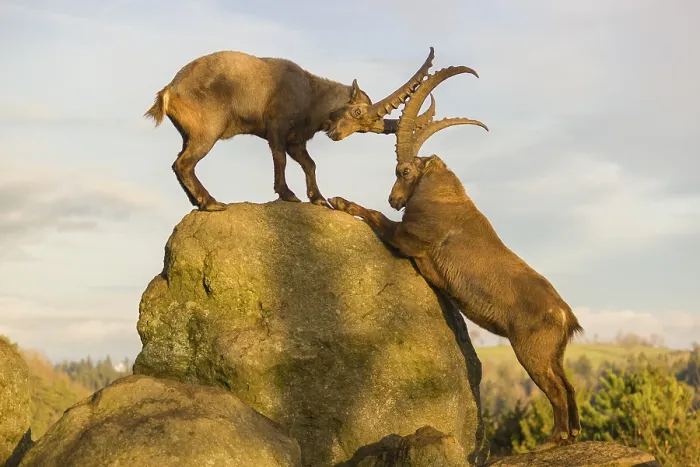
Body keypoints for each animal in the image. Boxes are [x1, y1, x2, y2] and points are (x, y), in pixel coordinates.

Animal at [144, 48, 439, 211]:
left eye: (365, 127)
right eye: (356, 112)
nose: (335, 135)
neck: (311, 94)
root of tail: (169, 91)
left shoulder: (296, 140)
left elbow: (309, 164)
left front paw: (318, 199)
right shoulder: (277, 127)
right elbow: (280, 158)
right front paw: (288, 194)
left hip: (189, 135)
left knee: (179, 164)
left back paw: (198, 202)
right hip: (207, 133)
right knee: (184, 164)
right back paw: (211, 203)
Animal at [328, 63, 584, 449]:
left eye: (403, 171)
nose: (394, 199)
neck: (443, 196)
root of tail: (565, 315)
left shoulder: (411, 240)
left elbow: (376, 217)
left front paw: (339, 201)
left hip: (533, 351)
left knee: (555, 389)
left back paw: (555, 439)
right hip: (554, 354)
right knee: (568, 386)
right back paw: (574, 435)